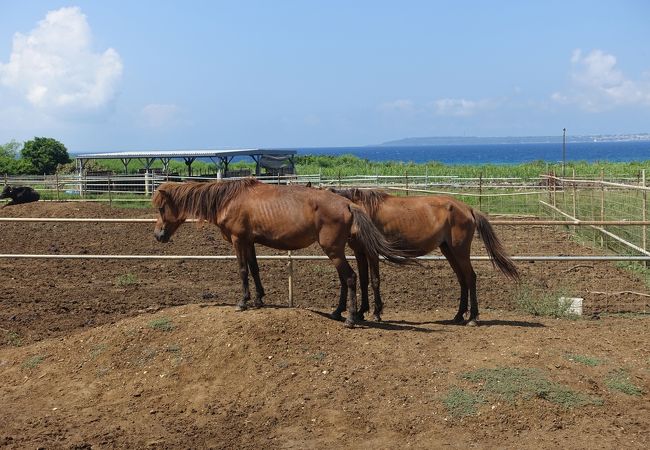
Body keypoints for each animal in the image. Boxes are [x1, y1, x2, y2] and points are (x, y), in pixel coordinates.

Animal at [152, 177, 410, 326]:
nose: (158, 236)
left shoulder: (238, 241)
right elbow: (255, 269)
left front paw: (243, 302)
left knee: (350, 277)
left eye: (162, 207)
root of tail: (348, 204)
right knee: (347, 279)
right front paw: (258, 299)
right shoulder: (249, 242)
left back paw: (350, 318)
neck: (229, 199)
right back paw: (338, 312)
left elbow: (243, 270)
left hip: (334, 250)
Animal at [330, 188, 516, 326]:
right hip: (449, 251)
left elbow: (375, 280)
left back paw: (472, 318)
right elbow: (363, 281)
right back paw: (458, 315)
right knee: (462, 279)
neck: (361, 210)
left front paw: (376, 314)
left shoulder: (372, 252)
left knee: (470, 278)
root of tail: (468, 209)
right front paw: (361, 312)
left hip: (460, 251)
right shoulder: (359, 252)